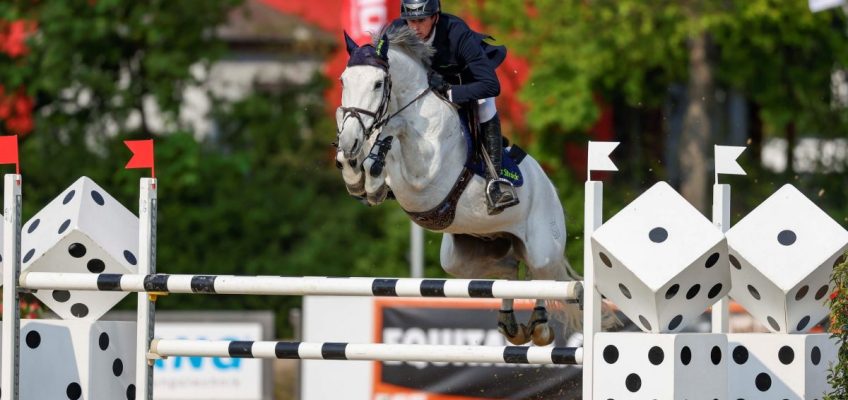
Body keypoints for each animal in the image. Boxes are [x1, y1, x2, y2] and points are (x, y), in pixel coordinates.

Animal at [336, 25, 608, 346]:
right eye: (343, 81)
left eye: (378, 84)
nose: (349, 141)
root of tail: (551, 189)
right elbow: (366, 162)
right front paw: (356, 173)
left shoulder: (426, 177)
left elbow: (393, 139)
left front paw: (374, 162)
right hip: (465, 257)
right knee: (509, 272)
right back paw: (512, 326)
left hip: (542, 249)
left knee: (544, 278)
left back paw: (540, 326)